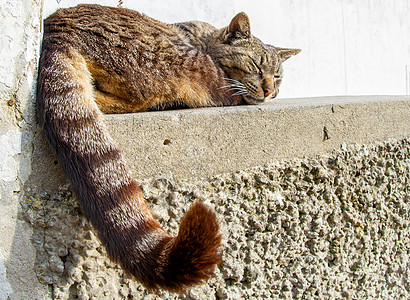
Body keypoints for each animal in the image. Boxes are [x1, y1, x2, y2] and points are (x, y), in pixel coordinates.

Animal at [36, 3, 302, 292]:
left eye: (278, 77)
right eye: (255, 65)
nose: (270, 90)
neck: (204, 36)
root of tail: (57, 32)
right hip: (193, 67)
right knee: (143, 97)